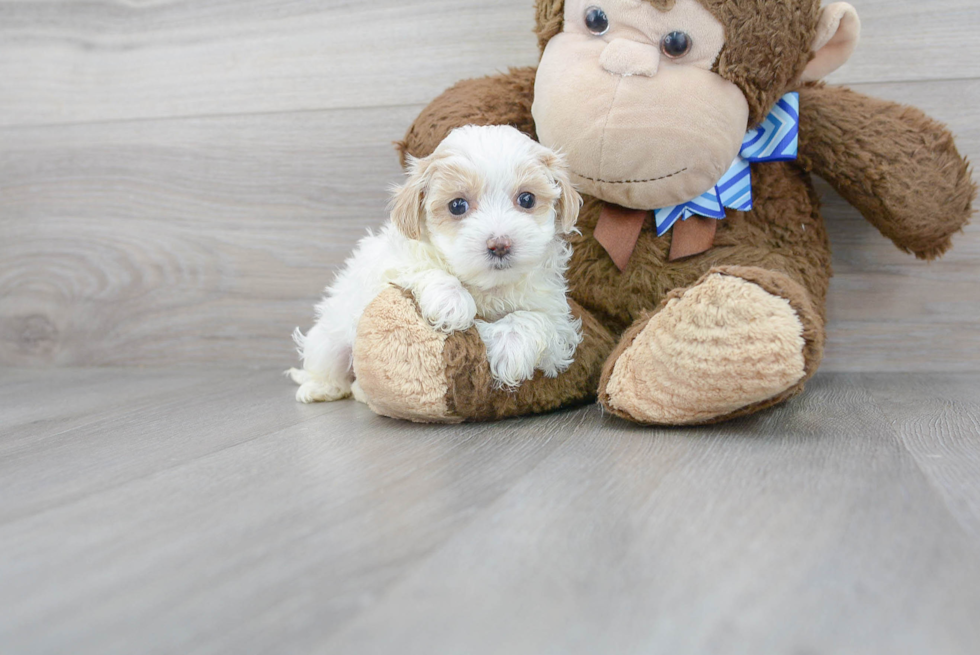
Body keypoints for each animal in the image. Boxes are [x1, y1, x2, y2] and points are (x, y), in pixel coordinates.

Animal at [290, 124, 580, 404]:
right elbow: (422, 268)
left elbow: (537, 319)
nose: (500, 244)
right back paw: (320, 389)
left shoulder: (558, 323)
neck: (487, 287)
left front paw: (510, 348)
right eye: (457, 205)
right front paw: (452, 302)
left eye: (527, 199)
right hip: (330, 337)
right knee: (329, 363)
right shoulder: (389, 267)